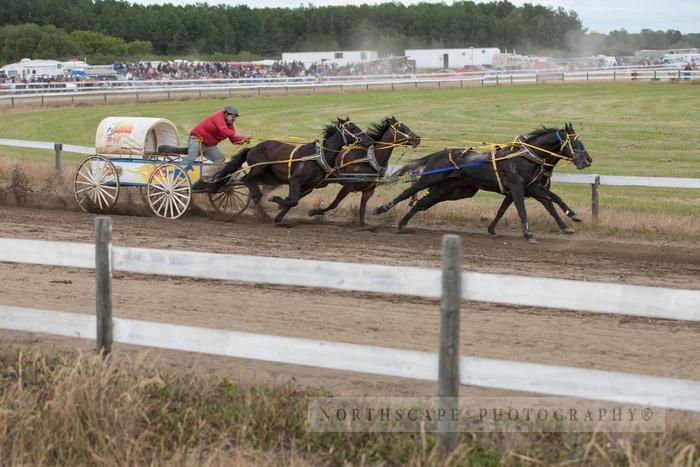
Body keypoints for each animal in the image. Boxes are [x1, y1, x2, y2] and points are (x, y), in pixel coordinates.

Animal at [217, 119, 372, 225]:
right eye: (352, 127)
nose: (369, 140)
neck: (318, 157)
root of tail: (253, 148)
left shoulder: (309, 186)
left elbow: (293, 201)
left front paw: (279, 214)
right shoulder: (295, 179)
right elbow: (293, 200)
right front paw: (276, 200)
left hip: (270, 177)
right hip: (259, 168)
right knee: (246, 179)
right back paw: (256, 197)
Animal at [374, 123, 592, 245]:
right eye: (575, 143)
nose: (587, 160)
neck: (526, 157)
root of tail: (437, 154)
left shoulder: (531, 188)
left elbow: (551, 201)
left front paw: (570, 220)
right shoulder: (518, 188)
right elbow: (523, 210)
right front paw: (529, 234)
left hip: (453, 190)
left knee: (421, 202)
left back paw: (403, 224)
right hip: (431, 179)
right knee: (407, 193)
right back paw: (381, 209)